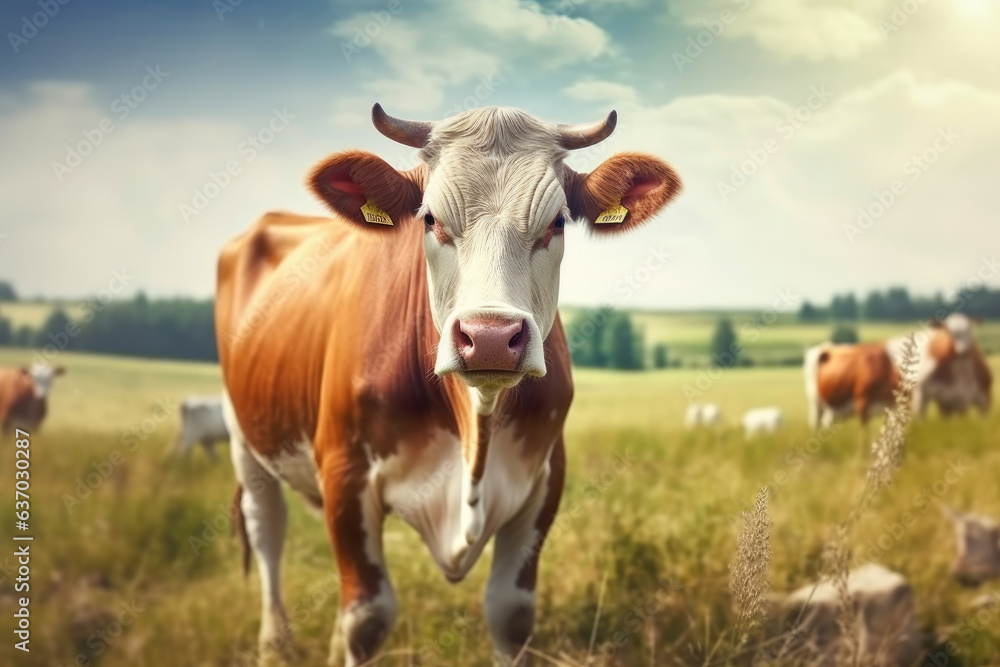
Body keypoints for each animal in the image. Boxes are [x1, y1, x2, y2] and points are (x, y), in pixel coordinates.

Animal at [216, 102, 684, 664]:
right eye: (431, 219)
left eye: (556, 223)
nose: (490, 337)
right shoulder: (345, 474)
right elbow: (366, 618)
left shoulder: (545, 478)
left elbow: (510, 614)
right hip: (243, 433)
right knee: (267, 529)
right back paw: (273, 645)